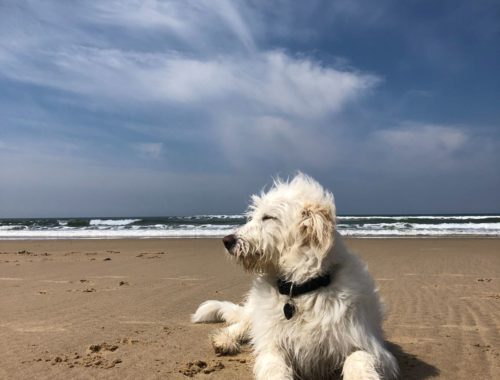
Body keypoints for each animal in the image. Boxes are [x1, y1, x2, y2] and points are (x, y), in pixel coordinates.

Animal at [191, 174, 398, 378]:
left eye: (268, 217)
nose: (227, 241)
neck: (299, 289)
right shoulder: (272, 344)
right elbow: (274, 368)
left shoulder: (367, 344)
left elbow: (357, 358)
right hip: (256, 314)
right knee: (243, 324)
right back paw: (224, 340)